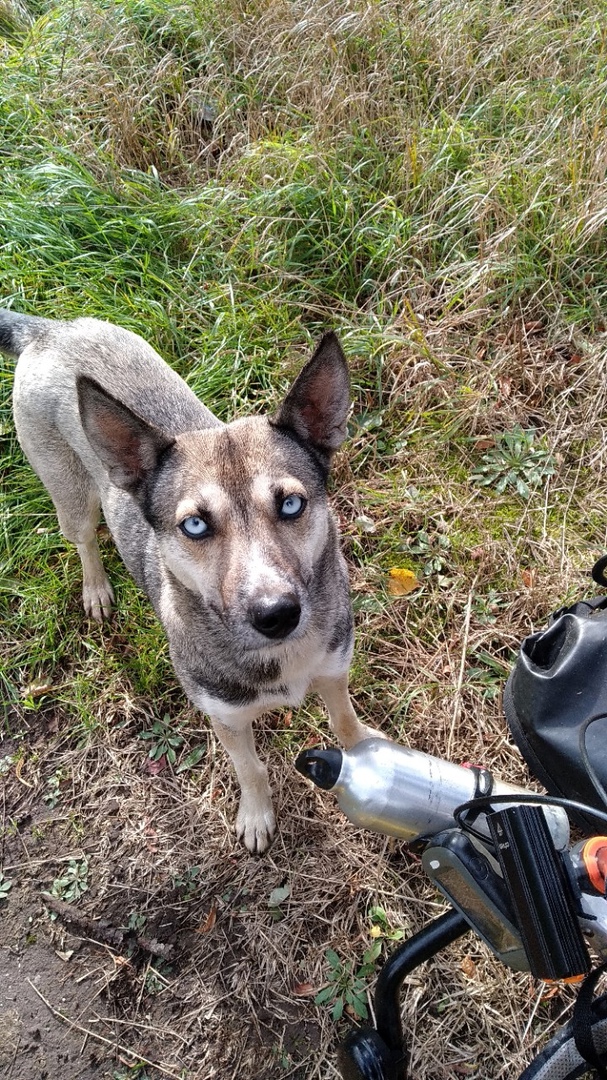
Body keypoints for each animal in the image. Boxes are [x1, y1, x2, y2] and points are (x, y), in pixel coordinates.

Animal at [2, 311, 375, 851]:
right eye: (195, 525)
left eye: (291, 504)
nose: (276, 614)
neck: (279, 659)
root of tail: (50, 330)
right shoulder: (226, 718)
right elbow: (251, 769)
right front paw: (257, 815)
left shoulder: (334, 669)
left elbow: (344, 722)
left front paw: (369, 758)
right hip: (70, 495)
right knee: (84, 539)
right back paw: (96, 588)